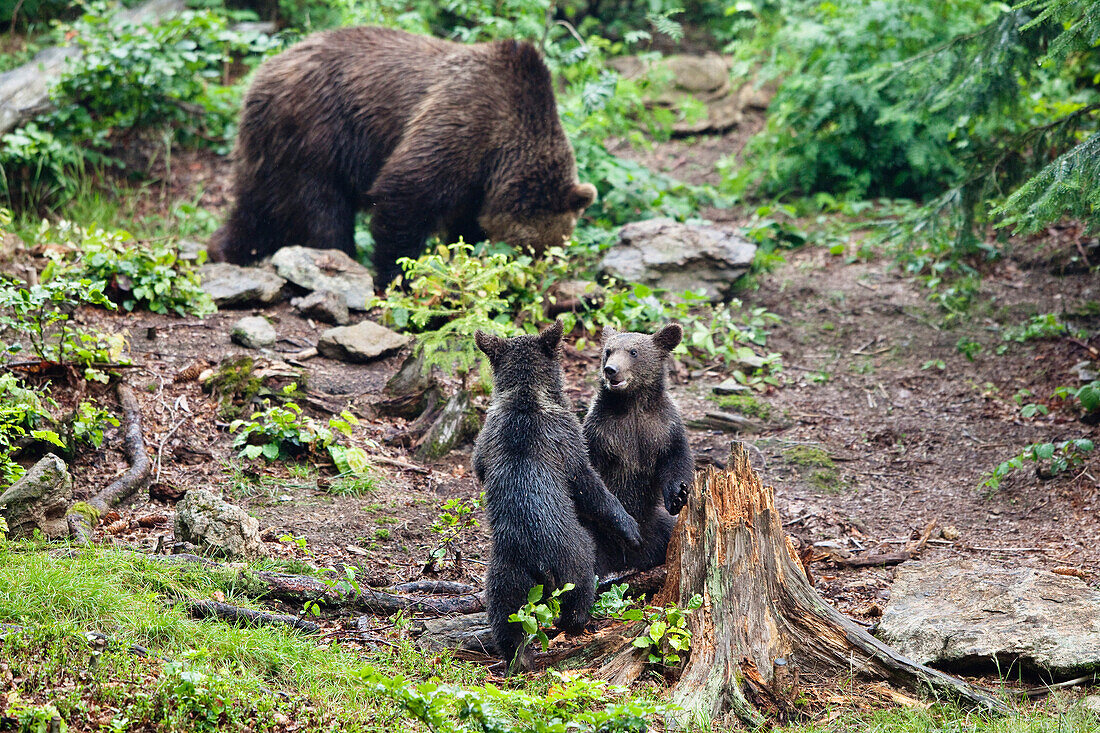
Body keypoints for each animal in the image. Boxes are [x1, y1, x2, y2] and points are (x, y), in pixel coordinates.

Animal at [209, 25, 598, 283]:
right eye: (530, 249)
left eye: (554, 249)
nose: (535, 278)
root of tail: (265, 71)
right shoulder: (463, 123)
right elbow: (406, 193)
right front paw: (399, 276)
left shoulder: (477, 182)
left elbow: (463, 224)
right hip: (316, 131)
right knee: (320, 207)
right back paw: (337, 256)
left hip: (268, 148)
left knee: (257, 206)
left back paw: (226, 249)